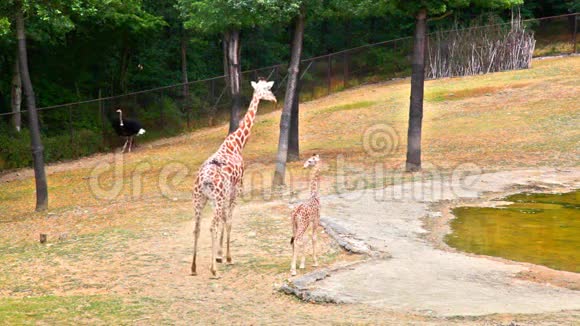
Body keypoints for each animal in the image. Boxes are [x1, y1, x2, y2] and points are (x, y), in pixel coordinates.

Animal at [191, 77, 278, 276]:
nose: (275, 99)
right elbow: (229, 220)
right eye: (268, 89)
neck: (238, 144)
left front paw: (219, 255)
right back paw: (213, 270)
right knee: (212, 225)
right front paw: (227, 258)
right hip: (216, 198)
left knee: (197, 227)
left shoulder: (224, 195)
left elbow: (225, 219)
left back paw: (193, 268)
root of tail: (204, 180)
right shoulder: (237, 188)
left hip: (200, 199)